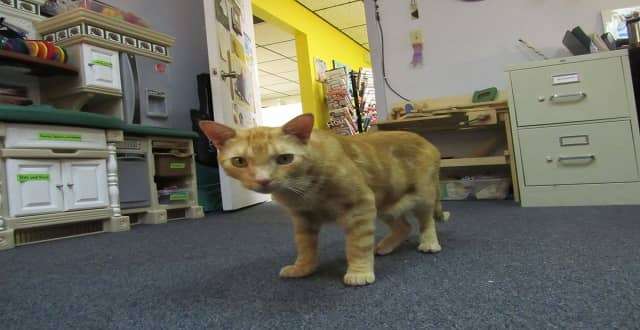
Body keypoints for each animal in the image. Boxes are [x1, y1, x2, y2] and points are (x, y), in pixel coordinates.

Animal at [201, 114, 450, 284]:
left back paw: (429, 243)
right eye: (239, 161)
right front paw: (303, 267)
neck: (304, 190)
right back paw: (385, 246)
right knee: (403, 226)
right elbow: (305, 246)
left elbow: (357, 246)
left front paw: (359, 272)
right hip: (386, 203)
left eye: (284, 158)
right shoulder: (303, 219)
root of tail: (428, 142)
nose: (263, 180)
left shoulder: (361, 206)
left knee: (426, 222)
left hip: (422, 196)